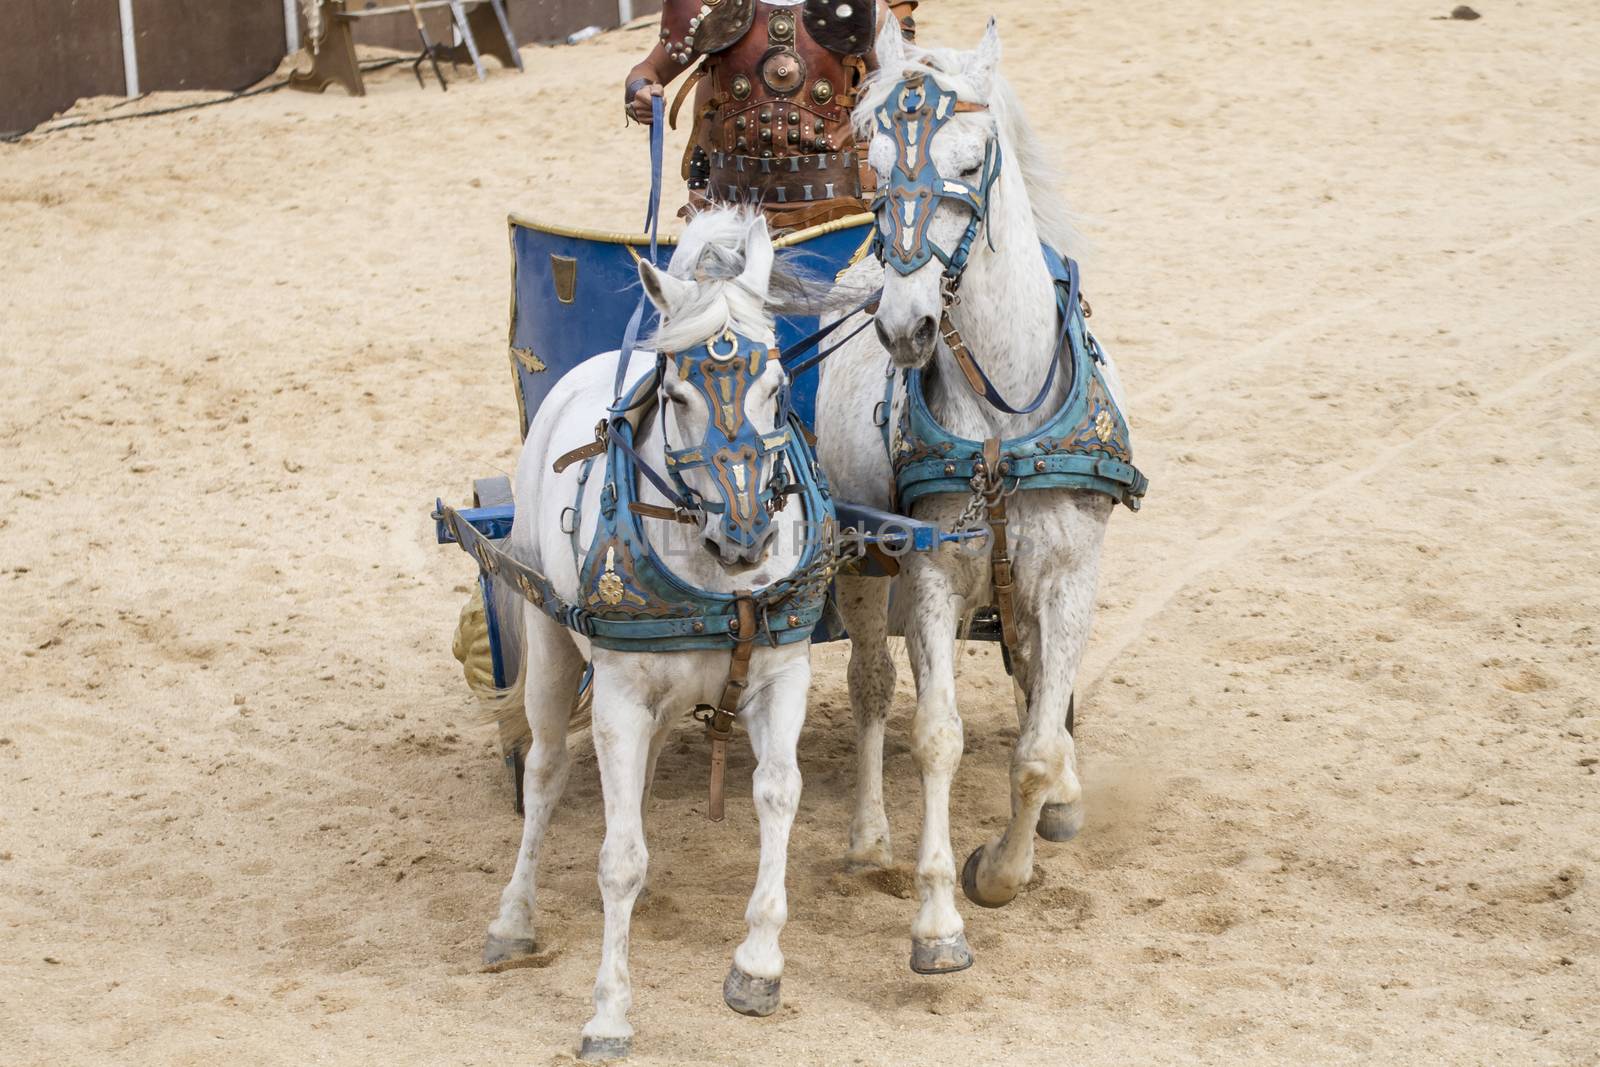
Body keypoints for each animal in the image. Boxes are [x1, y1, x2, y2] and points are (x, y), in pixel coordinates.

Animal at [480, 206, 832, 1062]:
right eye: (676, 394)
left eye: (779, 386)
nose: (746, 538)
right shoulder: (617, 696)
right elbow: (617, 857)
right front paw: (608, 1009)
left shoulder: (783, 676)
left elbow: (778, 794)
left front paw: (758, 963)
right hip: (548, 639)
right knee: (545, 770)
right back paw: (513, 917)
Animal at [812, 22, 1139, 979]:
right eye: (878, 165)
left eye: (970, 159)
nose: (903, 325)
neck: (1003, 420)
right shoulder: (929, 578)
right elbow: (936, 733)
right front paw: (938, 921)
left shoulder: (1067, 577)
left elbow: (1034, 745)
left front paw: (1003, 867)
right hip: (864, 564)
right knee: (874, 687)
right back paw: (869, 838)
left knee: (1032, 681)